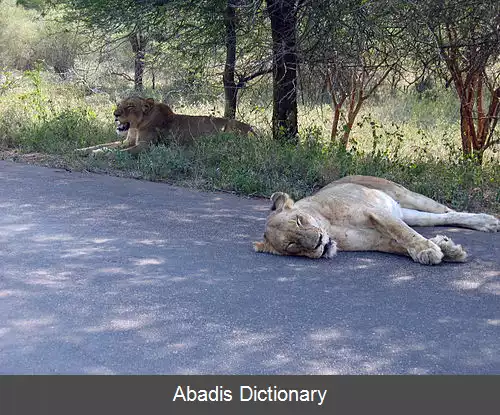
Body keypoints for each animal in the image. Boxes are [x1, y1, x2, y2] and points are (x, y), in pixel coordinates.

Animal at [75, 96, 254, 157]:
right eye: (119, 104)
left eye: (130, 106)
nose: (115, 114)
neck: (136, 127)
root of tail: (254, 131)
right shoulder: (127, 141)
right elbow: (103, 144)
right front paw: (80, 150)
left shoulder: (145, 147)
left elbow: (117, 152)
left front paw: (98, 154)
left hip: (230, 127)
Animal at [256, 176, 498, 266]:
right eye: (291, 245)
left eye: (299, 221)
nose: (317, 243)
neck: (330, 227)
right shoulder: (377, 241)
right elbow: (401, 244)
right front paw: (447, 250)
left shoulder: (375, 212)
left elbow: (402, 233)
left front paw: (428, 250)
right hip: (409, 213)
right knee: (440, 218)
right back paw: (484, 224)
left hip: (404, 195)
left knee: (447, 210)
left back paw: (488, 221)